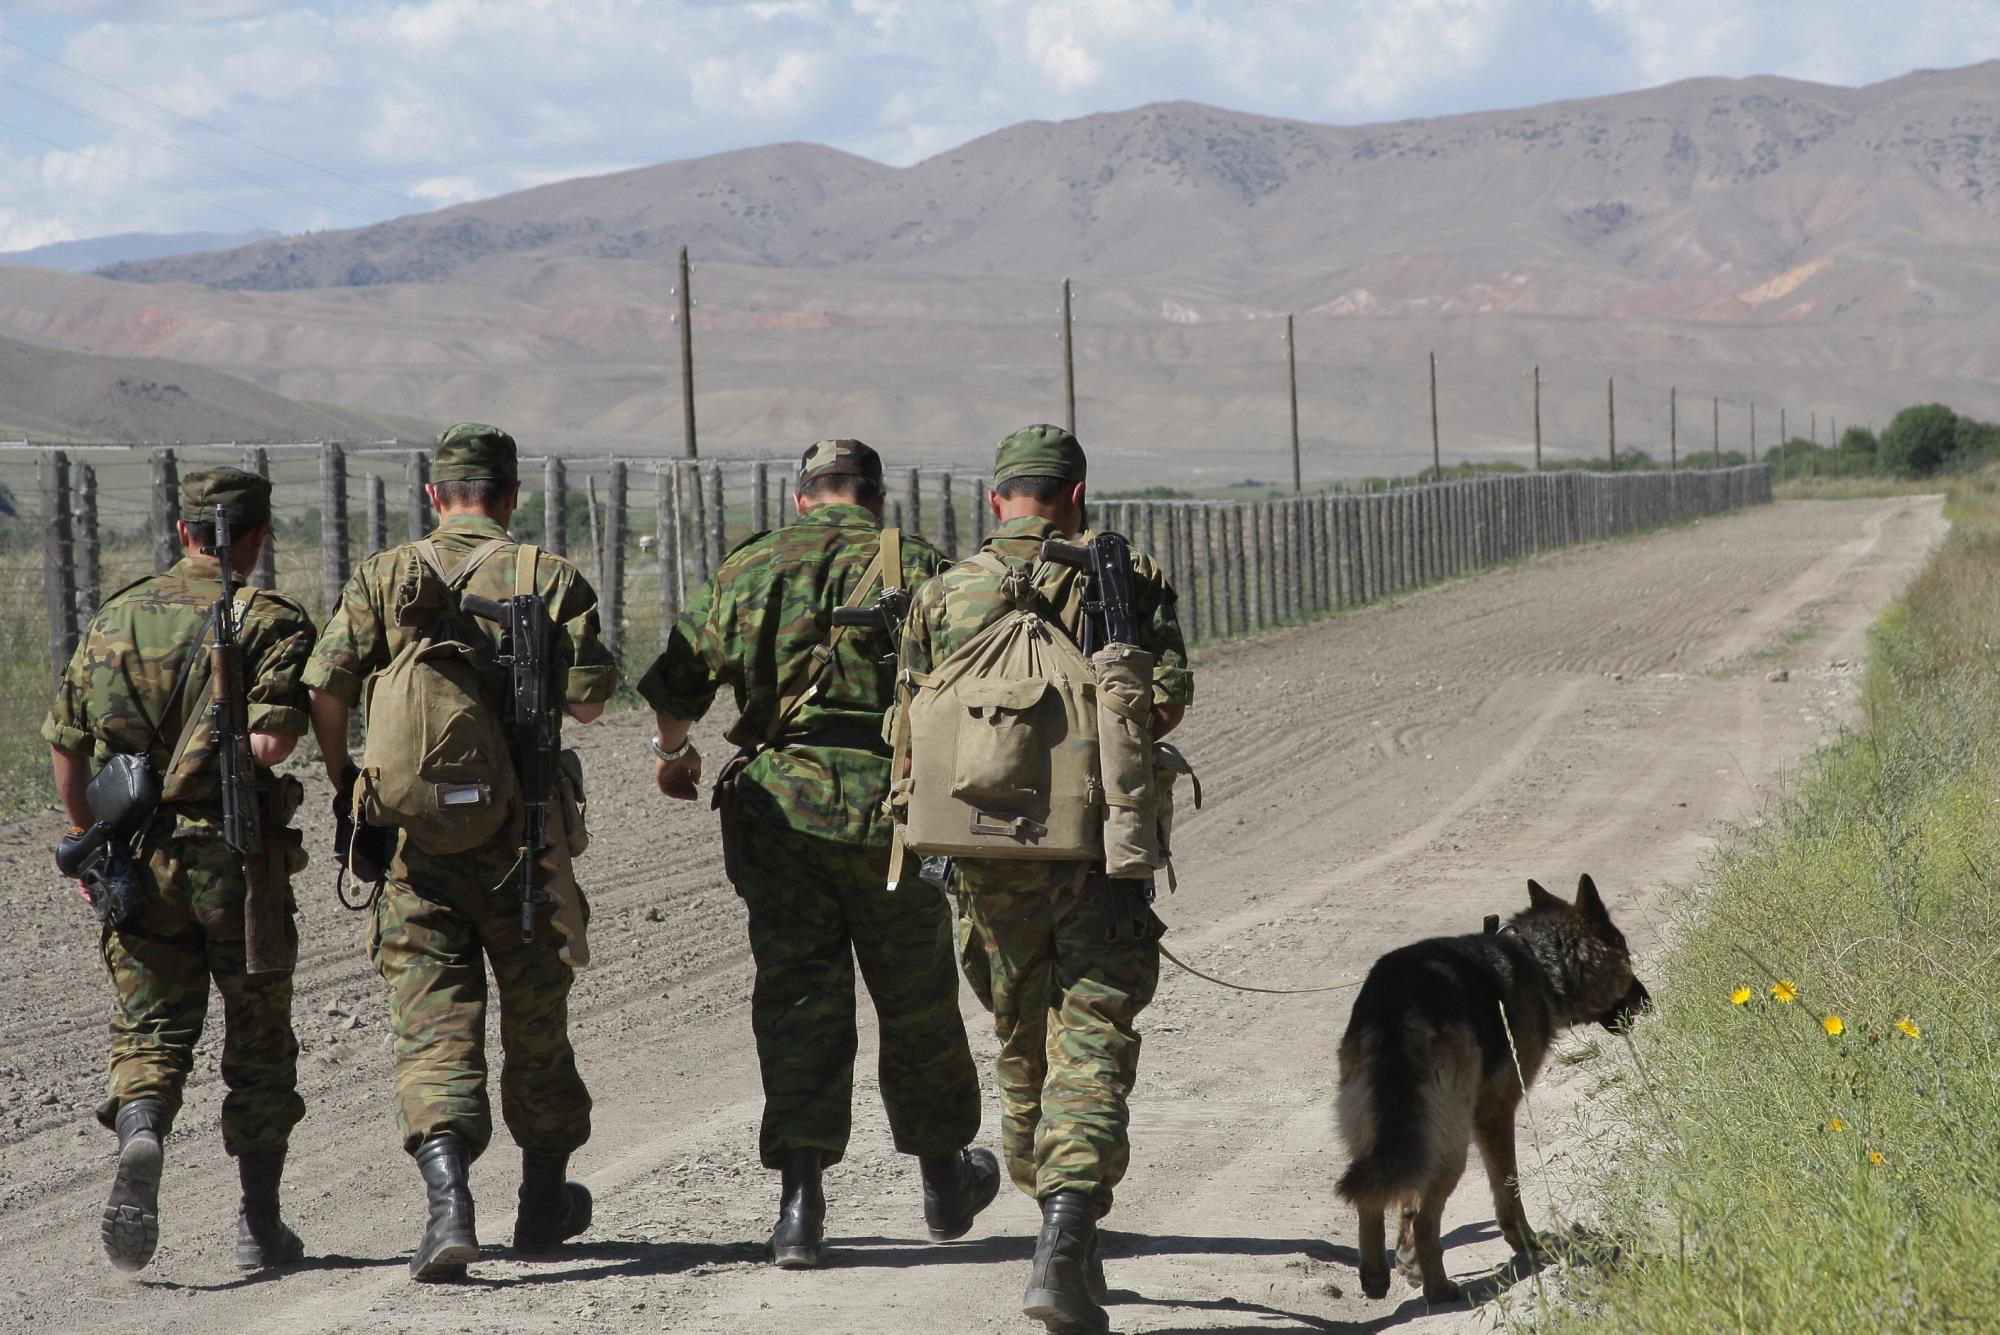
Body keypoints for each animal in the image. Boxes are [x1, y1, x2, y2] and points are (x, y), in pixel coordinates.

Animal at [1336, 875, 1648, 1303]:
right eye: (1626, 955)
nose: (1647, 1000)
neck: (1534, 959)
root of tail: (1398, 1004)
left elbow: (1405, 1203)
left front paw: (1407, 1263)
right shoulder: (1496, 1115)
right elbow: (1508, 1189)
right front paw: (1526, 1242)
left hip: (1380, 1135)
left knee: (1374, 1197)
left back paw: (1375, 1274)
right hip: (1450, 1146)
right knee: (1427, 1217)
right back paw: (1439, 1290)